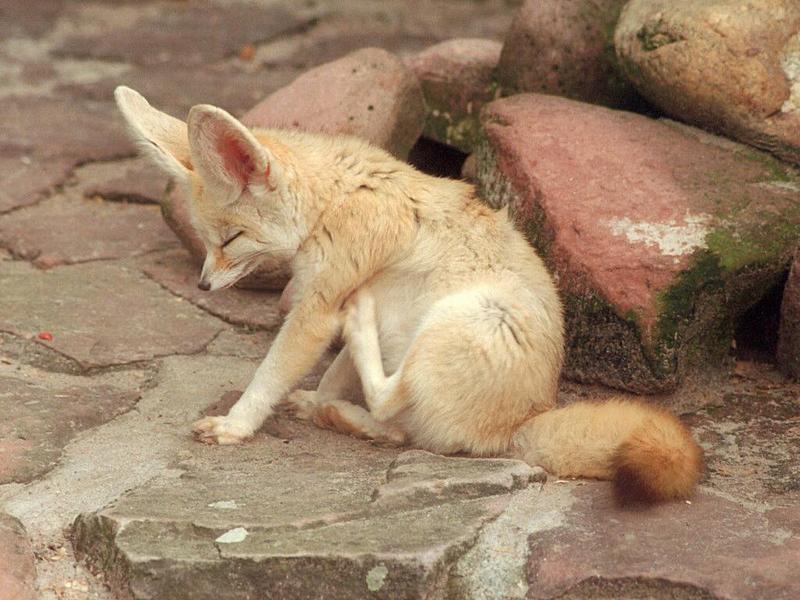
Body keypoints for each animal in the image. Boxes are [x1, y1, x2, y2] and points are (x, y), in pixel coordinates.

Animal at [112, 86, 700, 504]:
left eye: (231, 239)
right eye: (208, 241)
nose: (203, 285)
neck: (333, 200)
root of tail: (518, 427)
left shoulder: (317, 308)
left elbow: (270, 375)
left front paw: (236, 426)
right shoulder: (331, 297)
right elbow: (334, 373)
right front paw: (318, 398)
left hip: (462, 317)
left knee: (394, 405)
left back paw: (354, 355)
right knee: (400, 430)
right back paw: (335, 411)